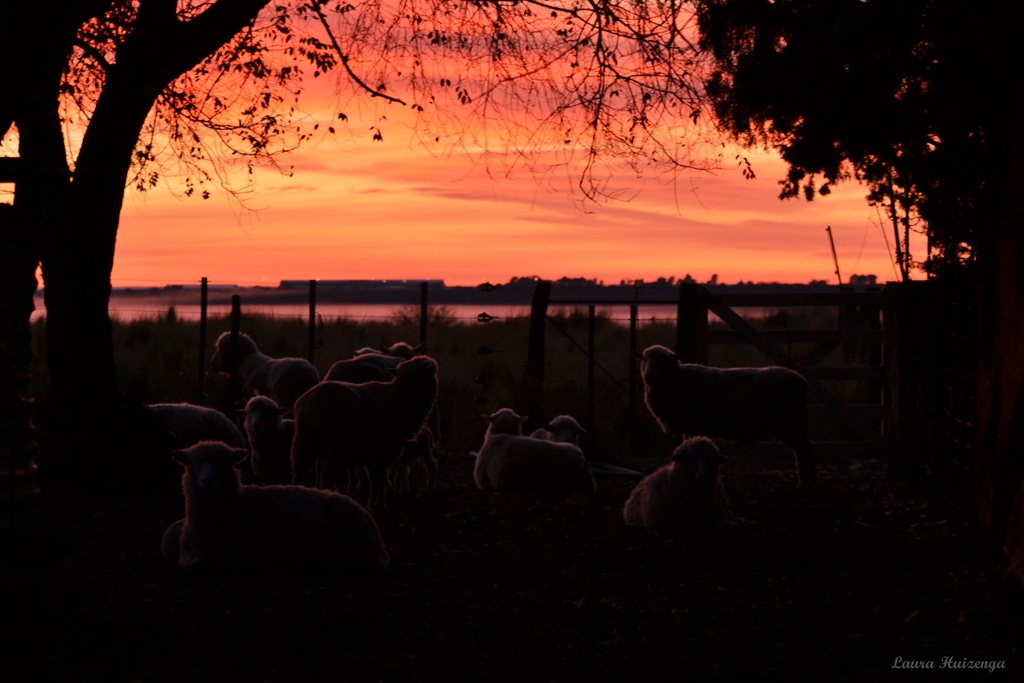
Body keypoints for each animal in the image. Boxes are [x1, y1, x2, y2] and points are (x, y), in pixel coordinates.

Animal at [294, 356, 442, 509]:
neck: (399, 397)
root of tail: (310, 404)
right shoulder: (384, 451)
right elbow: (380, 479)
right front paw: (381, 504)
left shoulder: (372, 454)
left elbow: (374, 478)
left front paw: (372, 502)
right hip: (333, 448)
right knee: (327, 475)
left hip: (302, 444)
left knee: (299, 472)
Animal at [638, 344, 815, 489]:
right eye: (644, 360)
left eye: (662, 361)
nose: (648, 376)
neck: (676, 379)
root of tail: (802, 381)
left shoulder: (691, 425)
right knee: (806, 447)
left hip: (791, 422)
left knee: (804, 449)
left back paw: (804, 483)